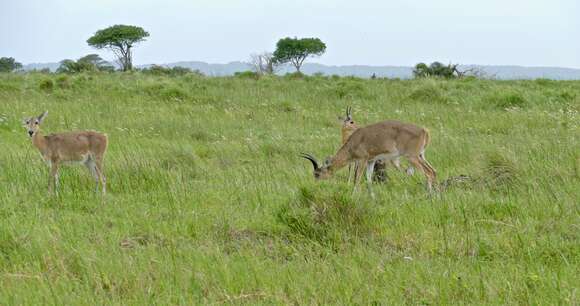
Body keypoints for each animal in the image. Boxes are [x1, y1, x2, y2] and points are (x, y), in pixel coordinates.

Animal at [304, 118, 436, 195]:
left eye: (317, 174)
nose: (315, 185)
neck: (354, 141)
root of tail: (424, 130)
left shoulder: (362, 160)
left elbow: (357, 179)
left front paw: (353, 195)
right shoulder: (371, 161)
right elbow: (368, 179)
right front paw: (372, 197)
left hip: (412, 157)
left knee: (428, 173)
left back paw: (429, 196)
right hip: (421, 156)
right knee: (433, 171)